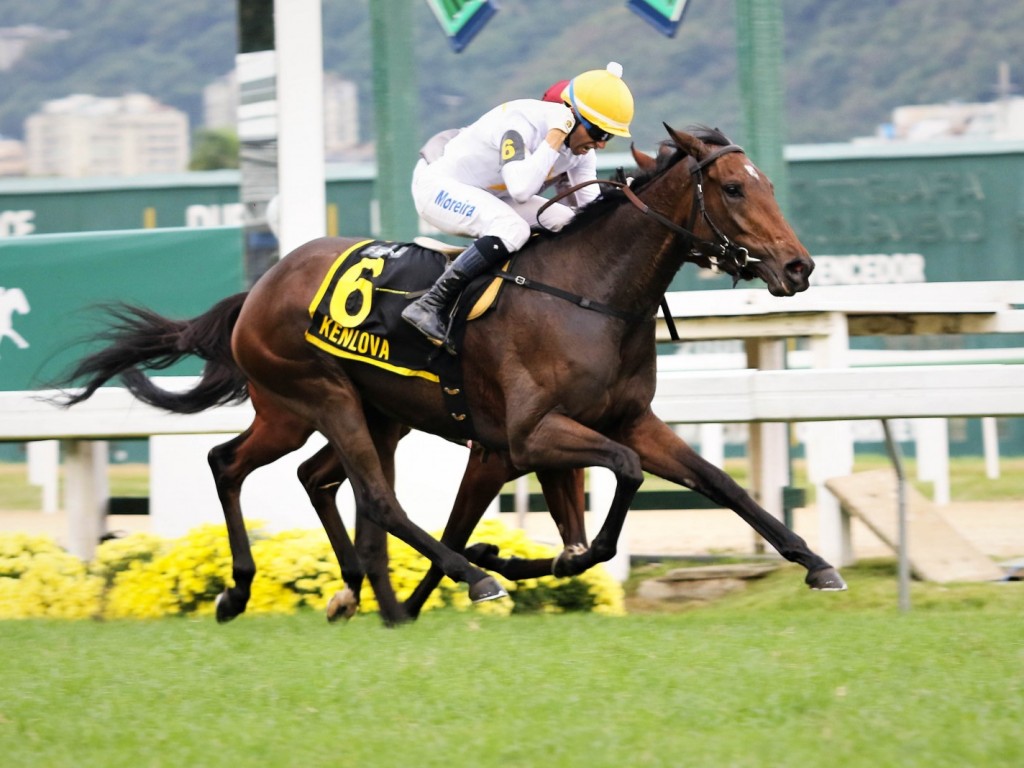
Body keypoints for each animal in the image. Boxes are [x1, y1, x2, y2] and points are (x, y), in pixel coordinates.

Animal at [56, 126, 847, 626]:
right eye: (735, 189)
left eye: (764, 183)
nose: (799, 266)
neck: (589, 293)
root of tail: (260, 288)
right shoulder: (524, 438)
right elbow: (612, 490)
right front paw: (507, 562)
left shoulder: (624, 421)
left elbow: (718, 484)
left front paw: (815, 562)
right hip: (316, 397)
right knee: (366, 496)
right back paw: (459, 580)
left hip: (357, 413)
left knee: (281, 472)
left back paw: (312, 592)